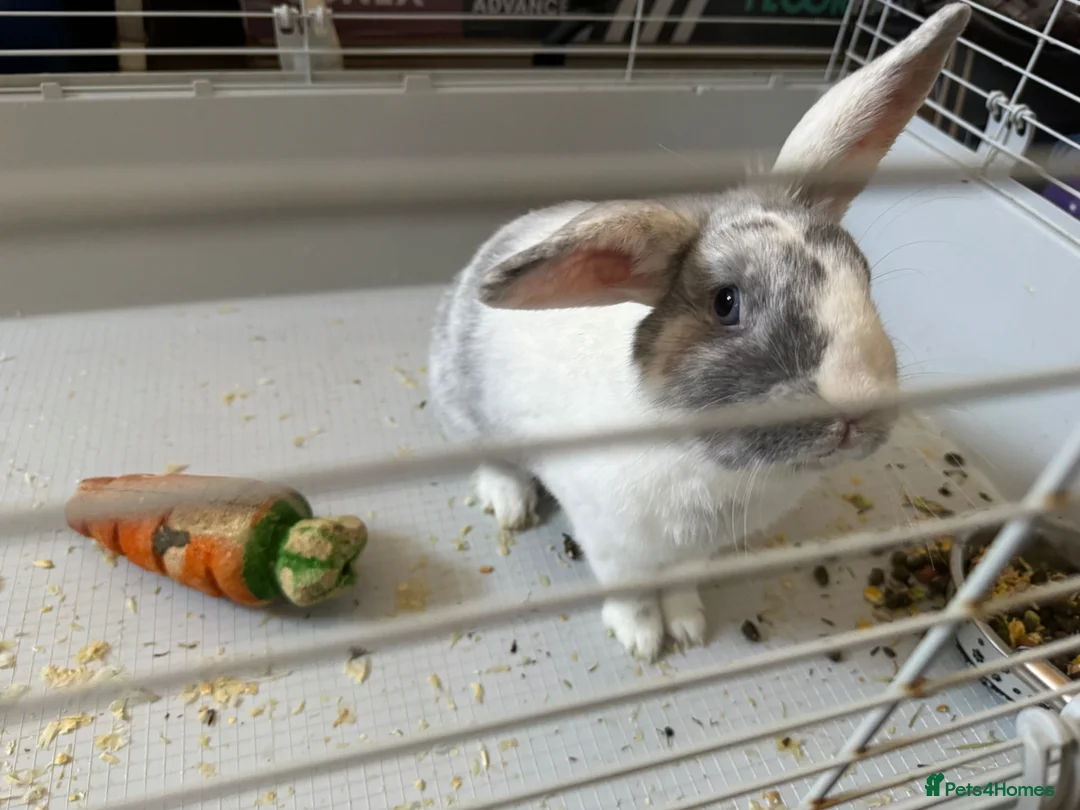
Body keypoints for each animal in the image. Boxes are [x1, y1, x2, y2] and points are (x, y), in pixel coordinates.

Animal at [427, 4, 971, 661]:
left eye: (862, 275)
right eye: (726, 302)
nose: (856, 410)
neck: (708, 458)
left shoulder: (696, 552)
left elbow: (681, 584)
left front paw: (687, 626)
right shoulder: (614, 541)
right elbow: (631, 591)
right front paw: (642, 640)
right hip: (467, 414)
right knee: (493, 462)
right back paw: (510, 505)